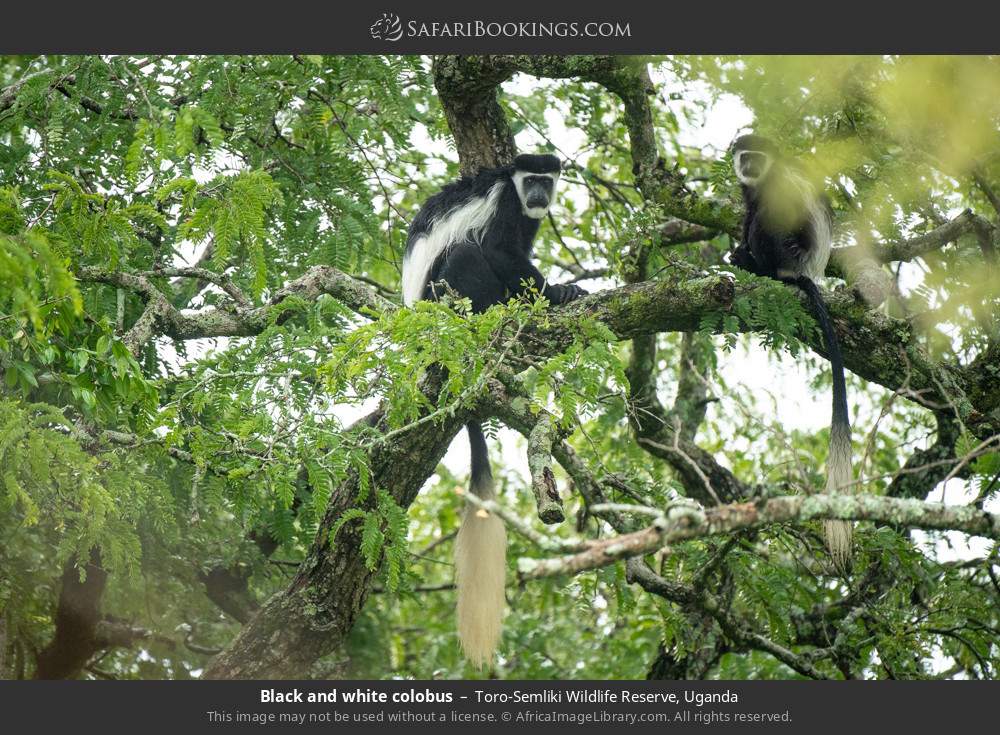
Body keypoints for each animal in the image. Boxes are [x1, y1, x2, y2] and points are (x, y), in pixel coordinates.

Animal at [398, 154, 584, 668]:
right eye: (531, 180)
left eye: (547, 182)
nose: (539, 195)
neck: (514, 192)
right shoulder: (504, 206)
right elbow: (501, 251)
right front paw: (559, 293)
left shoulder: (529, 219)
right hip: (443, 296)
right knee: (466, 253)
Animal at [732, 134, 856, 568]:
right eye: (744, 157)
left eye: (757, 157)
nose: (749, 166)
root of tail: (804, 271)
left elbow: (763, 214)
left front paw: (745, 254)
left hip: (790, 248)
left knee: (766, 221)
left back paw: (762, 268)